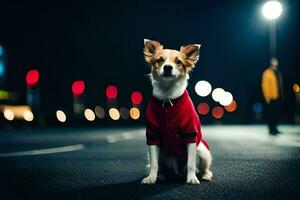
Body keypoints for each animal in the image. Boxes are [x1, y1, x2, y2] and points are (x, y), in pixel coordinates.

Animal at [141, 39, 213, 184]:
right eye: (160, 60)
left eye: (178, 62)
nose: (168, 67)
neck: (167, 99)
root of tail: (177, 174)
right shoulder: (153, 134)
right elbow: (154, 164)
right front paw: (151, 177)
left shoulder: (190, 133)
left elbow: (191, 163)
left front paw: (191, 178)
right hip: (162, 154)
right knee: (160, 166)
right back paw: (162, 175)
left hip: (203, 151)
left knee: (203, 168)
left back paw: (204, 175)